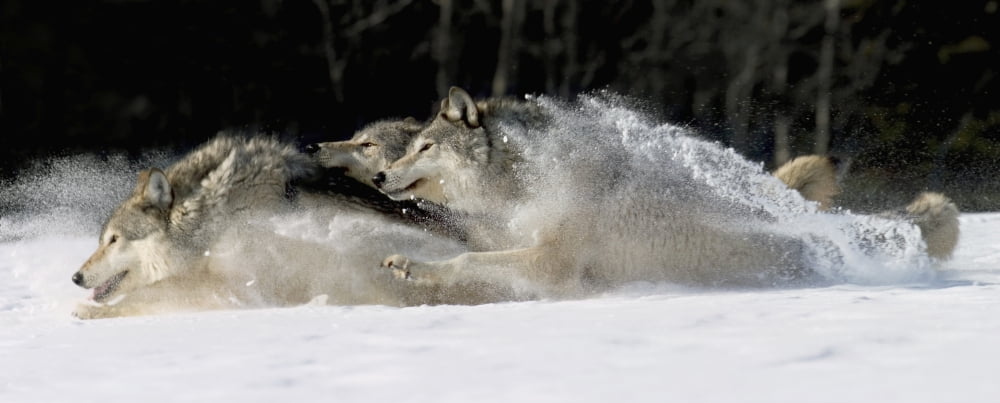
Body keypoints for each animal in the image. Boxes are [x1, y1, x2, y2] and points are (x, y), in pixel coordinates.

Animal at [70, 135, 498, 319]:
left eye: (113, 240)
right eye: (102, 240)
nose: (75, 277)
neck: (217, 212)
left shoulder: (237, 273)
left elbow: (149, 297)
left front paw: (86, 312)